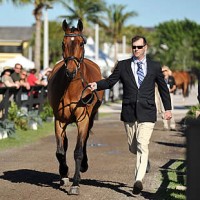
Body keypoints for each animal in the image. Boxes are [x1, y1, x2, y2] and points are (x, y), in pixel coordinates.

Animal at [47, 19, 103, 195]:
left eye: (81, 43)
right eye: (63, 43)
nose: (71, 71)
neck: (72, 88)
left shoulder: (83, 120)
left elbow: (78, 151)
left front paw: (75, 184)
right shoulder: (59, 120)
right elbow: (60, 151)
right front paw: (64, 175)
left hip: (89, 120)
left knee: (84, 143)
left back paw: (84, 166)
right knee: (64, 145)